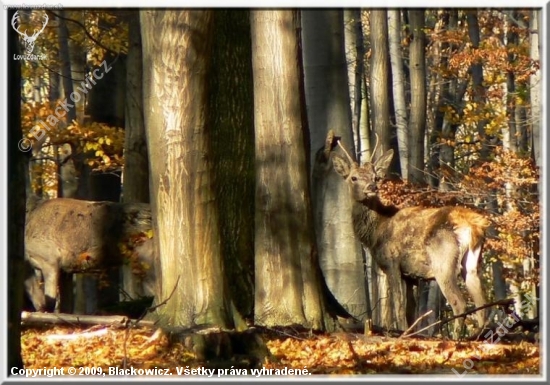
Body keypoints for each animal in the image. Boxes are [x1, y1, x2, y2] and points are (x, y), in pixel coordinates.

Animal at [330, 132, 494, 336]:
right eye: (353, 178)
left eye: (375, 177)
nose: (371, 188)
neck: (376, 231)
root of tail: (473, 224)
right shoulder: (411, 276)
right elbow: (410, 310)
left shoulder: (391, 262)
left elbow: (399, 307)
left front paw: (403, 333)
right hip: (472, 263)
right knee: (483, 305)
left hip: (443, 261)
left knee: (460, 303)